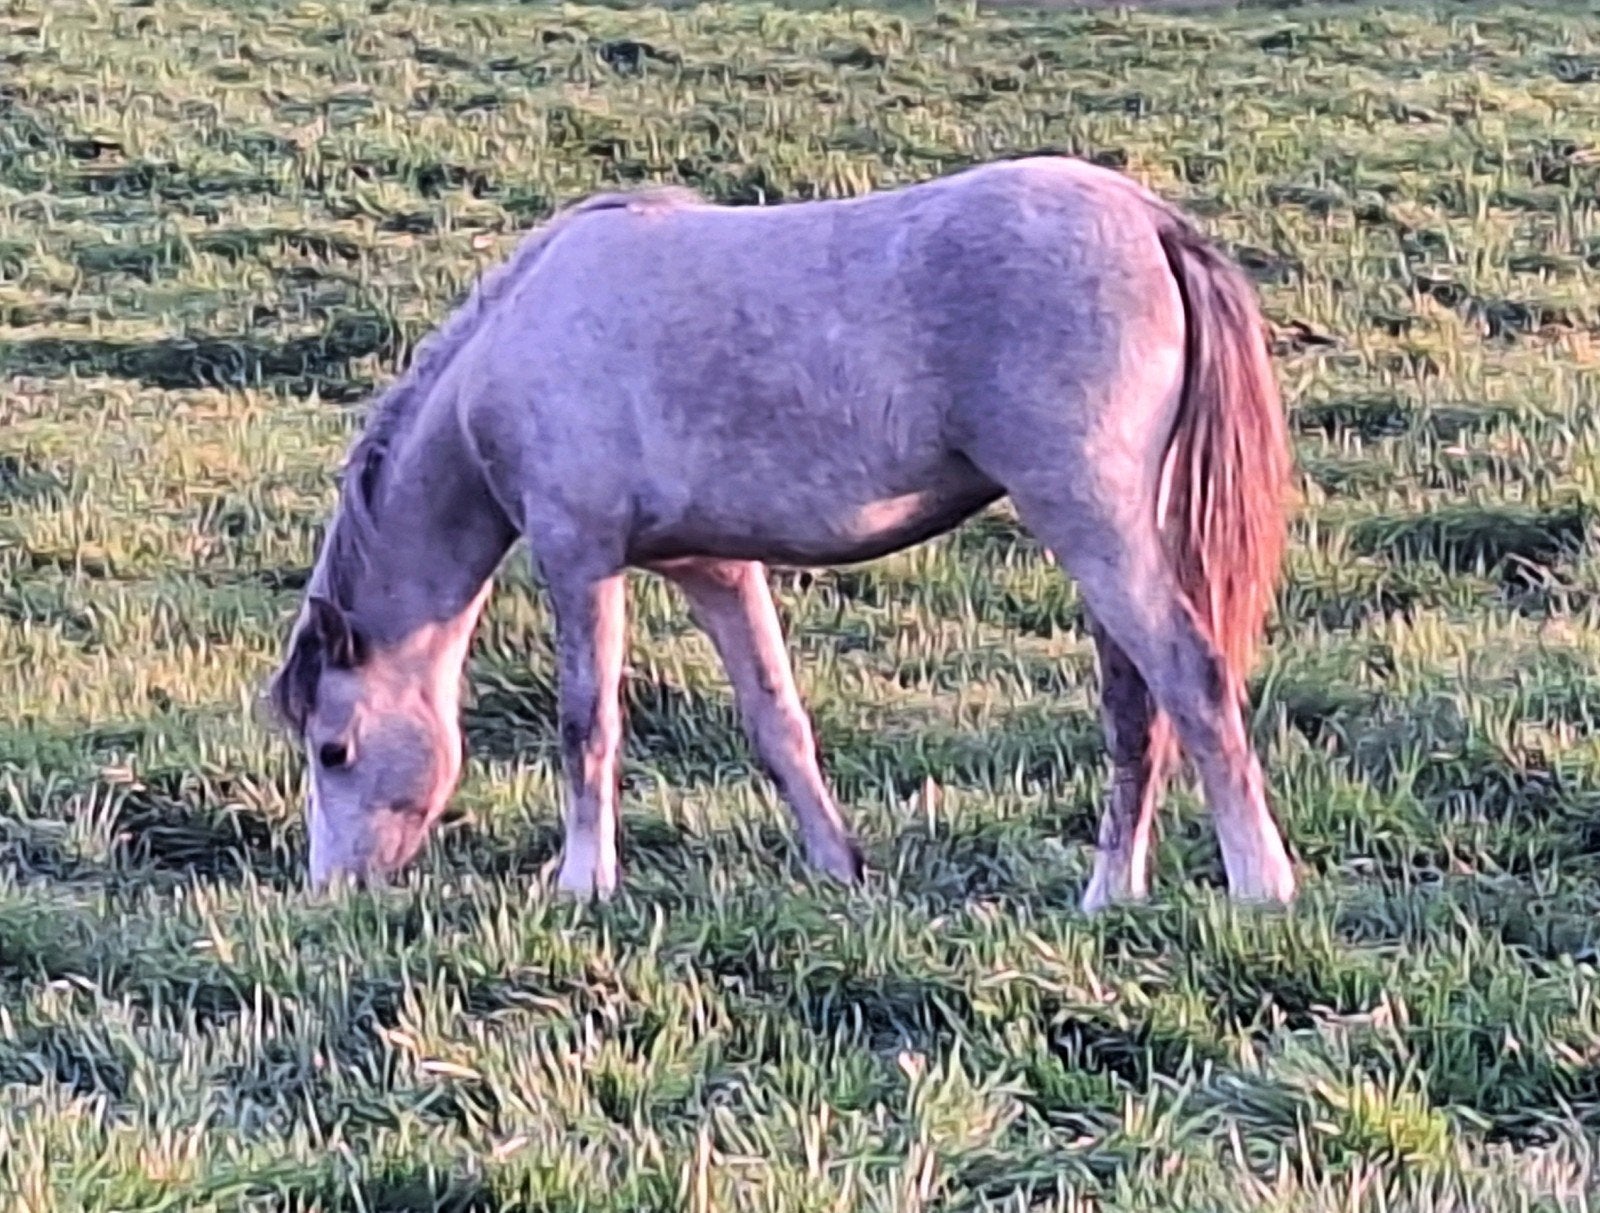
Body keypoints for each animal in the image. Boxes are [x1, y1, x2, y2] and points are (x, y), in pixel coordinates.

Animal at [266, 155, 1296, 911]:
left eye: (334, 750)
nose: (332, 889)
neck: (515, 343)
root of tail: (1150, 223)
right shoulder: (715, 567)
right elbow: (777, 721)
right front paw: (840, 868)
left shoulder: (578, 554)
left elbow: (587, 723)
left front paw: (582, 883)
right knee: (1136, 707)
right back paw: (1111, 891)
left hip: (1091, 523)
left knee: (1190, 680)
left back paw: (1259, 887)